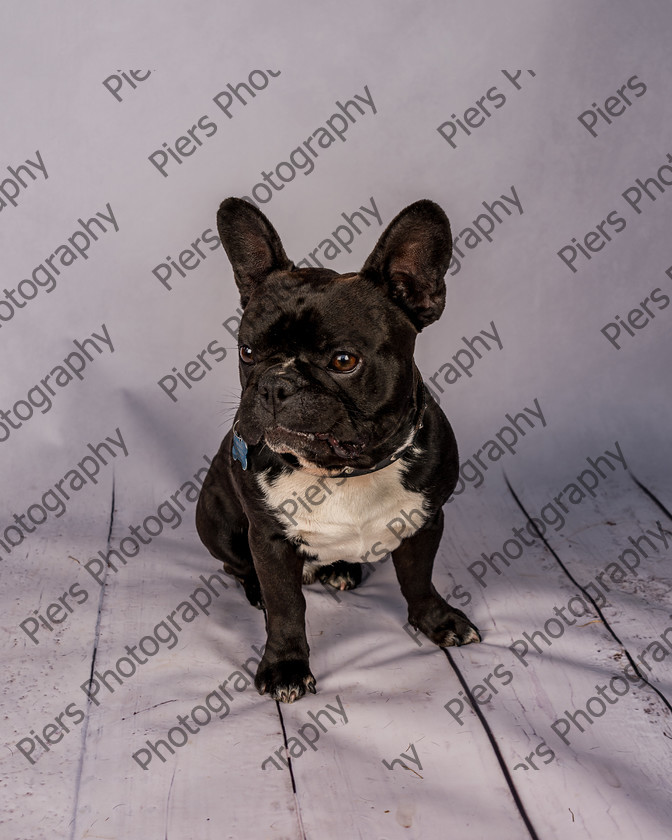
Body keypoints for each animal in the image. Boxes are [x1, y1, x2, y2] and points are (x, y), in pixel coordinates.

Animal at [197, 197, 480, 704]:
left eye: (344, 361)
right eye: (246, 352)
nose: (275, 384)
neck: (346, 471)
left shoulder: (427, 520)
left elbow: (418, 578)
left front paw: (436, 619)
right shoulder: (268, 540)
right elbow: (286, 606)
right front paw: (286, 665)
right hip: (215, 520)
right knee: (236, 565)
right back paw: (255, 589)